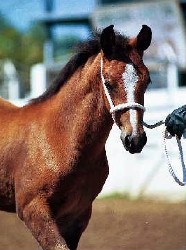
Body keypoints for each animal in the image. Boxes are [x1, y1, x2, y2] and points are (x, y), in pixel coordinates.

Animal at [0, 24, 151, 249]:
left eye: (147, 81)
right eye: (108, 82)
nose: (135, 139)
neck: (61, 139)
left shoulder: (76, 215)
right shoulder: (32, 208)